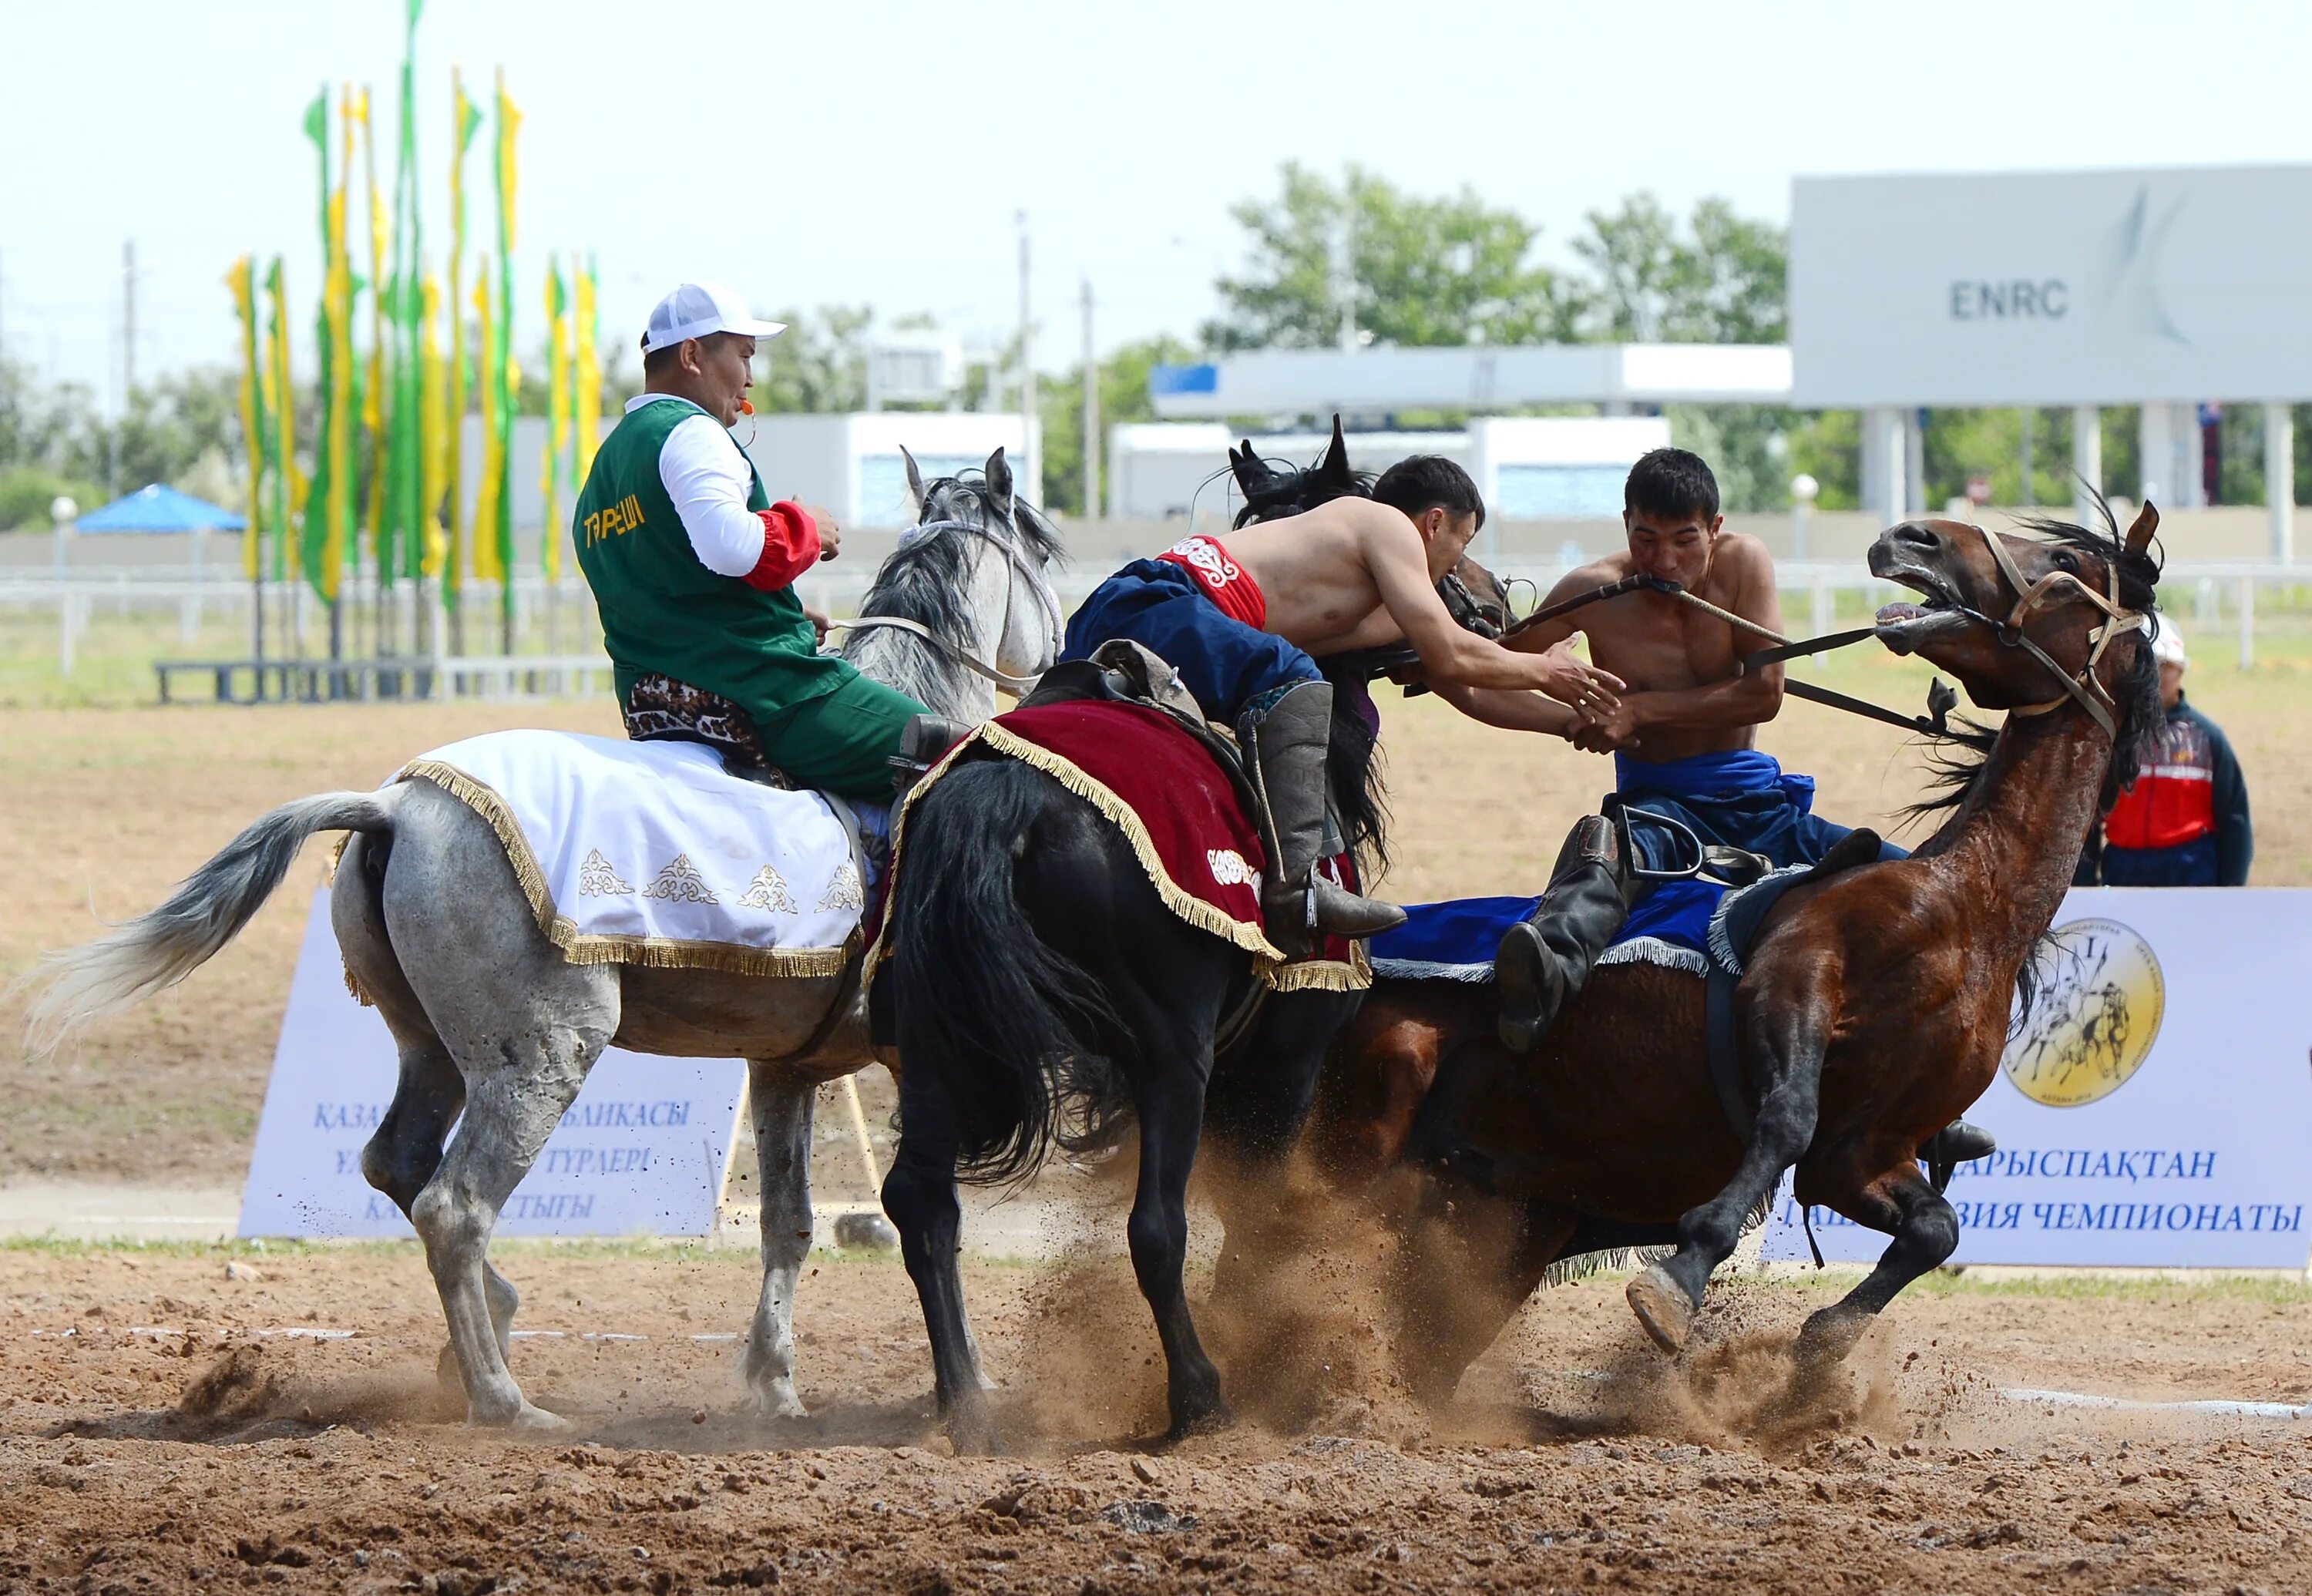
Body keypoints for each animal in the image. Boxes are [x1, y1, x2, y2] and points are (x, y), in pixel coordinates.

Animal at [22, 449, 1064, 1433]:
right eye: (1048, 554)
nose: (1065, 651)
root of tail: (400, 803)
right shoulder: (912, 1057)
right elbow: (920, 1210)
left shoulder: (786, 1069)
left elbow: (790, 1224)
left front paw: (775, 1385)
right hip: (540, 1058)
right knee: (454, 1207)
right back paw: (502, 1399)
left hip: (437, 1050)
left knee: (397, 1165)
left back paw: (494, 1321)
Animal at [879, 428, 1387, 1452]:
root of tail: (1006, 797)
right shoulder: (1282, 1061)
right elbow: (1255, 1223)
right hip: (1169, 1055)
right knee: (1155, 1227)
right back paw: (1200, 1395)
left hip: (935, 1042)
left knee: (922, 1202)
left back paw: (967, 1408)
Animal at [1313, 504, 2155, 1387]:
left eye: (2064, 564)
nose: (1913, 536)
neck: (1967, 912)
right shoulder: (1793, 983)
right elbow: (1785, 1119)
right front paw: (1680, 1276)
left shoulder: (1864, 1153)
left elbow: (1934, 1227)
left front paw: (1822, 1343)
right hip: (1366, 1119)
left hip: (1500, 1220)